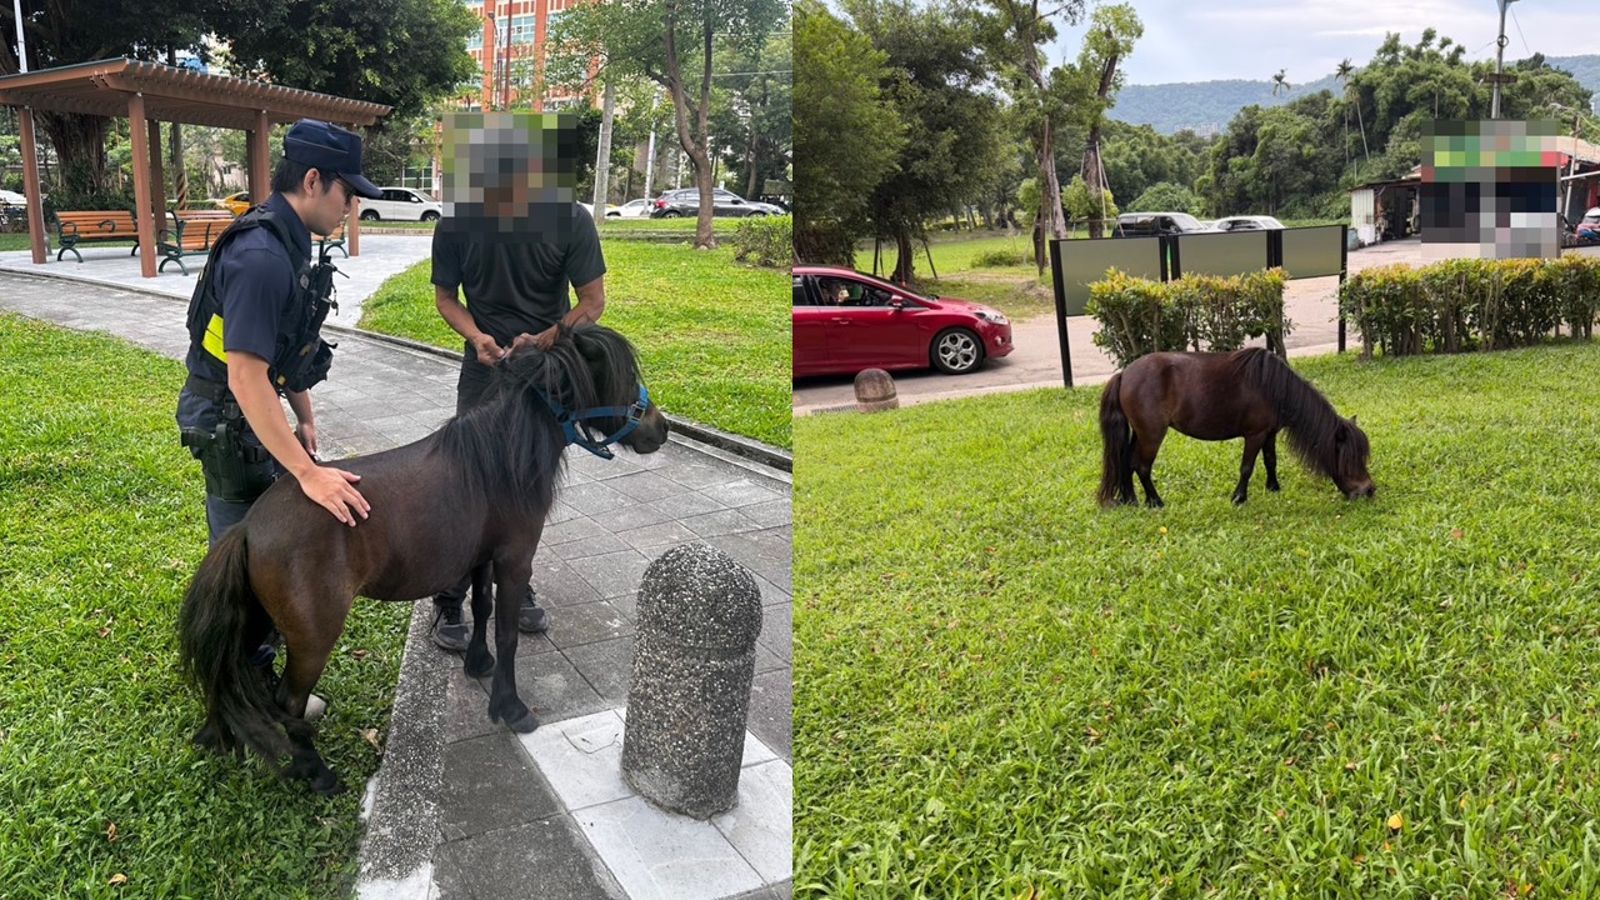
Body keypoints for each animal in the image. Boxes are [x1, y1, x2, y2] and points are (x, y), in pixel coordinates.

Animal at [177, 324, 668, 794]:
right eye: (623, 378)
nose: (660, 428)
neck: (498, 460)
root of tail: (248, 528)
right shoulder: (514, 560)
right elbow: (507, 632)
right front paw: (510, 707)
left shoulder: (482, 557)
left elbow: (481, 608)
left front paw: (478, 663)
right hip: (313, 640)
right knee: (288, 704)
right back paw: (317, 774)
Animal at [1097, 348, 1375, 508]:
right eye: (1349, 459)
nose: (1369, 490)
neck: (1275, 388)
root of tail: (1124, 374)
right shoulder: (1255, 435)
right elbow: (1247, 468)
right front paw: (1239, 498)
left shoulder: (1269, 434)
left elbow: (1270, 460)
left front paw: (1273, 487)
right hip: (1152, 435)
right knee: (1141, 466)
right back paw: (1155, 501)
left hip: (1140, 433)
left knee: (1126, 461)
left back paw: (1131, 500)